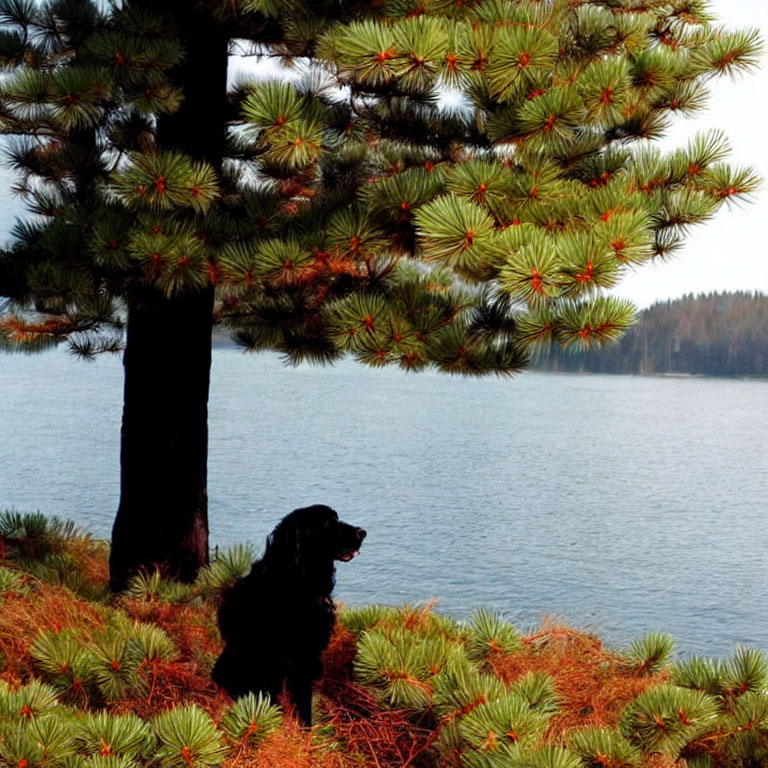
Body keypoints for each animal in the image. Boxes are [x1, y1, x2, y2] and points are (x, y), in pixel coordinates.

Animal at [210, 504, 366, 728]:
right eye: (328, 523)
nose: (363, 532)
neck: (294, 584)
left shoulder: (306, 654)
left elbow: (303, 700)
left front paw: (305, 729)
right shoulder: (270, 656)